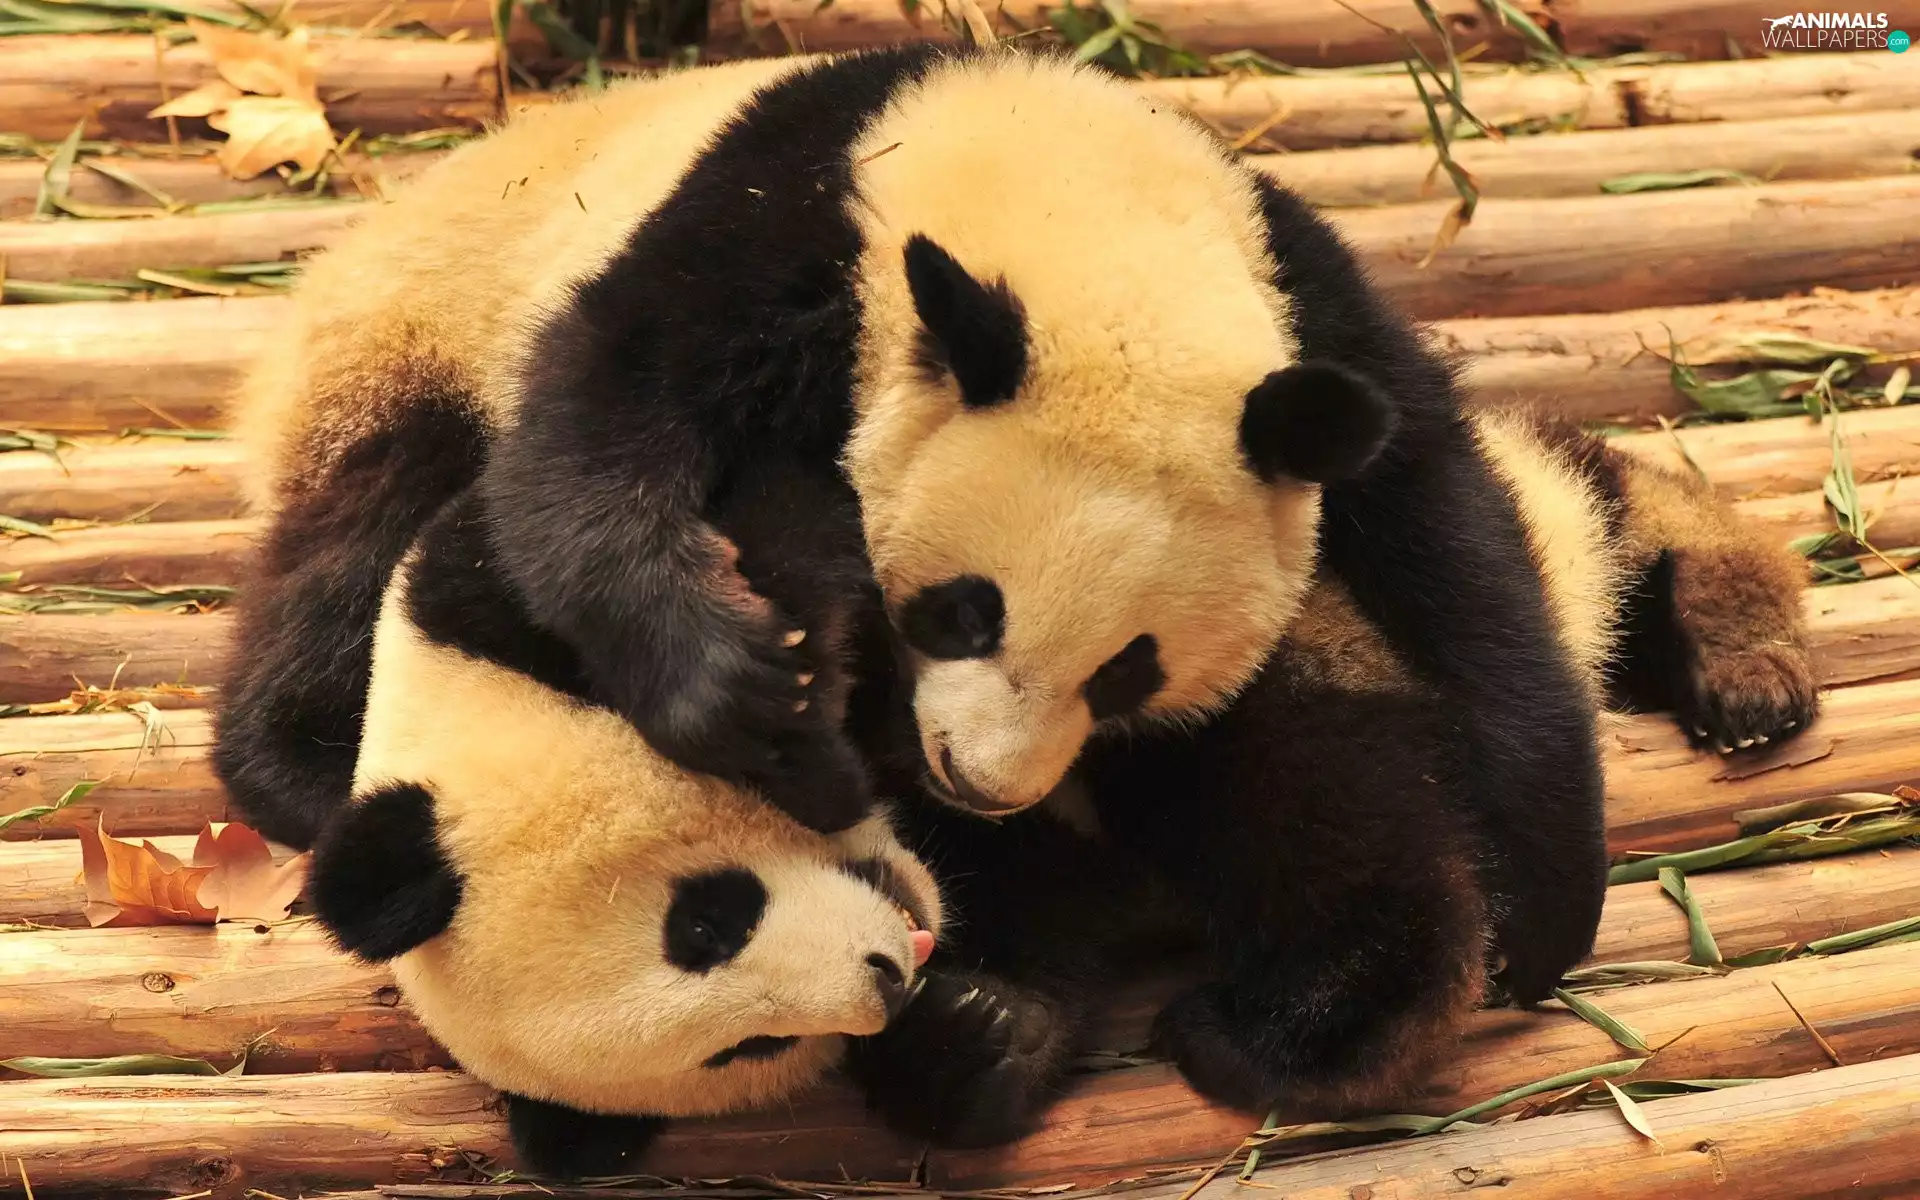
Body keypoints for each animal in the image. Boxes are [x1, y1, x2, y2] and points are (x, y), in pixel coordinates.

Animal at [215, 41, 1630, 1014]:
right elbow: (591, 437)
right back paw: (302, 762)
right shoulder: (768, 232)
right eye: (964, 610)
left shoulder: (1306, 301)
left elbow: (1454, 543)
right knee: (359, 545)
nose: (980, 783)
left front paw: (1543, 904)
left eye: (1130, 672)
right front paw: (747, 694)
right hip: (412, 340)